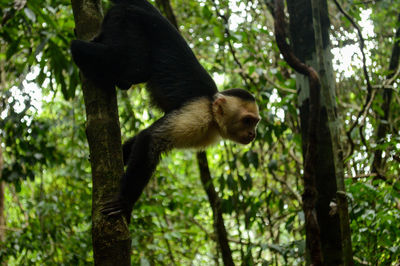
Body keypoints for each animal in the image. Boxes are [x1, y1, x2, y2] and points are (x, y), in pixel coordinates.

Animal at [70, 0, 260, 221]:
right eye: (247, 121)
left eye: (255, 122)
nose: (253, 134)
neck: (213, 115)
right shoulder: (198, 115)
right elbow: (150, 139)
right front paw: (124, 203)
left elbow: (142, 137)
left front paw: (118, 155)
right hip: (129, 20)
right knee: (131, 66)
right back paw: (77, 48)